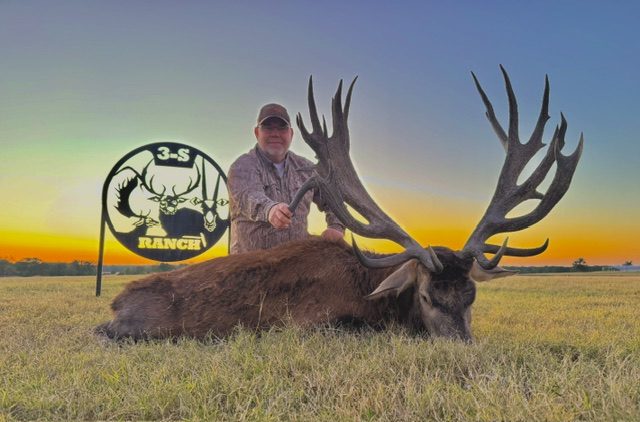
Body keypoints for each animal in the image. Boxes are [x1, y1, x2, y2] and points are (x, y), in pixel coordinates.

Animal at [95, 67, 583, 342]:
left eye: (472, 296)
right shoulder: (311, 323)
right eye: (427, 295)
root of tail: (115, 303)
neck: (374, 291)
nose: (463, 348)